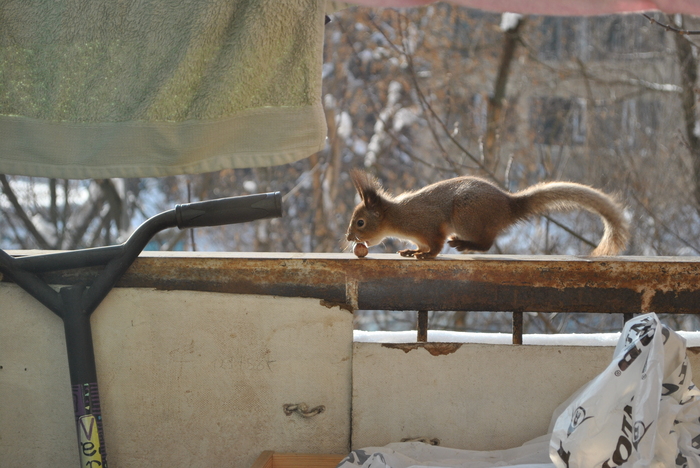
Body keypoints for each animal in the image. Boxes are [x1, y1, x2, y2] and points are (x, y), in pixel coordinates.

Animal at [344, 170, 628, 260]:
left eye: (361, 222)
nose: (348, 237)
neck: (397, 216)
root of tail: (508, 205)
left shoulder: (430, 225)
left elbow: (435, 246)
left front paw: (424, 255)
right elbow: (420, 245)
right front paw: (410, 251)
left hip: (467, 217)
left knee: (487, 242)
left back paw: (462, 243)